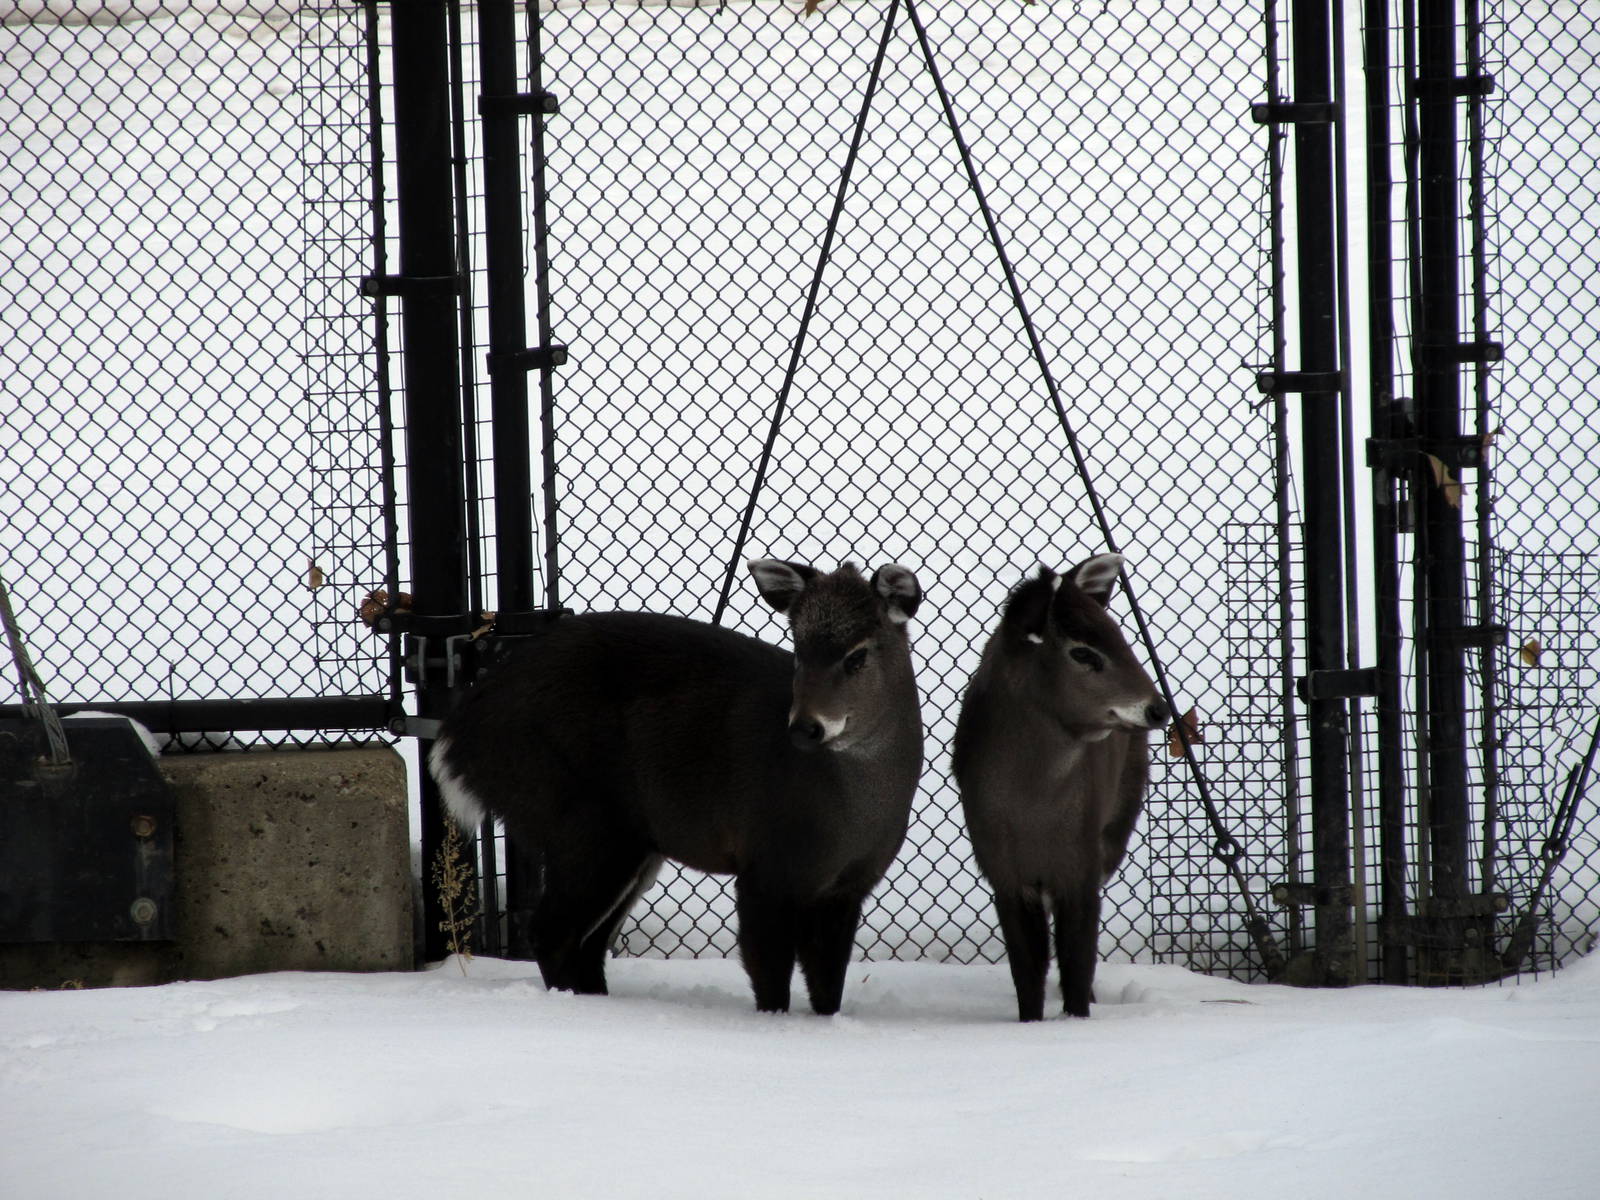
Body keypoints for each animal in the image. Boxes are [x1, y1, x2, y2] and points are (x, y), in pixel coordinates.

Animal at [427, 559, 925, 1015]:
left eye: (857, 655)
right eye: (799, 651)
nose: (805, 728)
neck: (849, 819)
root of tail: (457, 738)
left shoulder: (849, 886)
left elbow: (827, 989)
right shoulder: (765, 865)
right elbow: (769, 981)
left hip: (632, 844)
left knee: (589, 941)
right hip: (577, 817)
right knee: (552, 932)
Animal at [952, 554, 1169, 1021]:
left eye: (1121, 636)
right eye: (1082, 651)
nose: (1158, 709)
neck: (1032, 809)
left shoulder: (1080, 863)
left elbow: (1077, 960)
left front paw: (1076, 1017)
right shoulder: (1002, 870)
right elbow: (1027, 969)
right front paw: (1034, 1021)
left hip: (1117, 822)